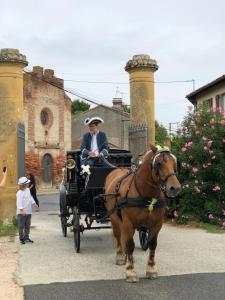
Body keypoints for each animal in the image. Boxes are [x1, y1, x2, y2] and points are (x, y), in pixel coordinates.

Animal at [104, 144, 181, 282]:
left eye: (174, 162)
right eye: (158, 163)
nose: (175, 188)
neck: (145, 194)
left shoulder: (157, 224)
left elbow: (152, 244)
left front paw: (151, 269)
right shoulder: (128, 223)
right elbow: (130, 244)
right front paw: (130, 271)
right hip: (114, 218)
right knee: (118, 236)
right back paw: (120, 256)